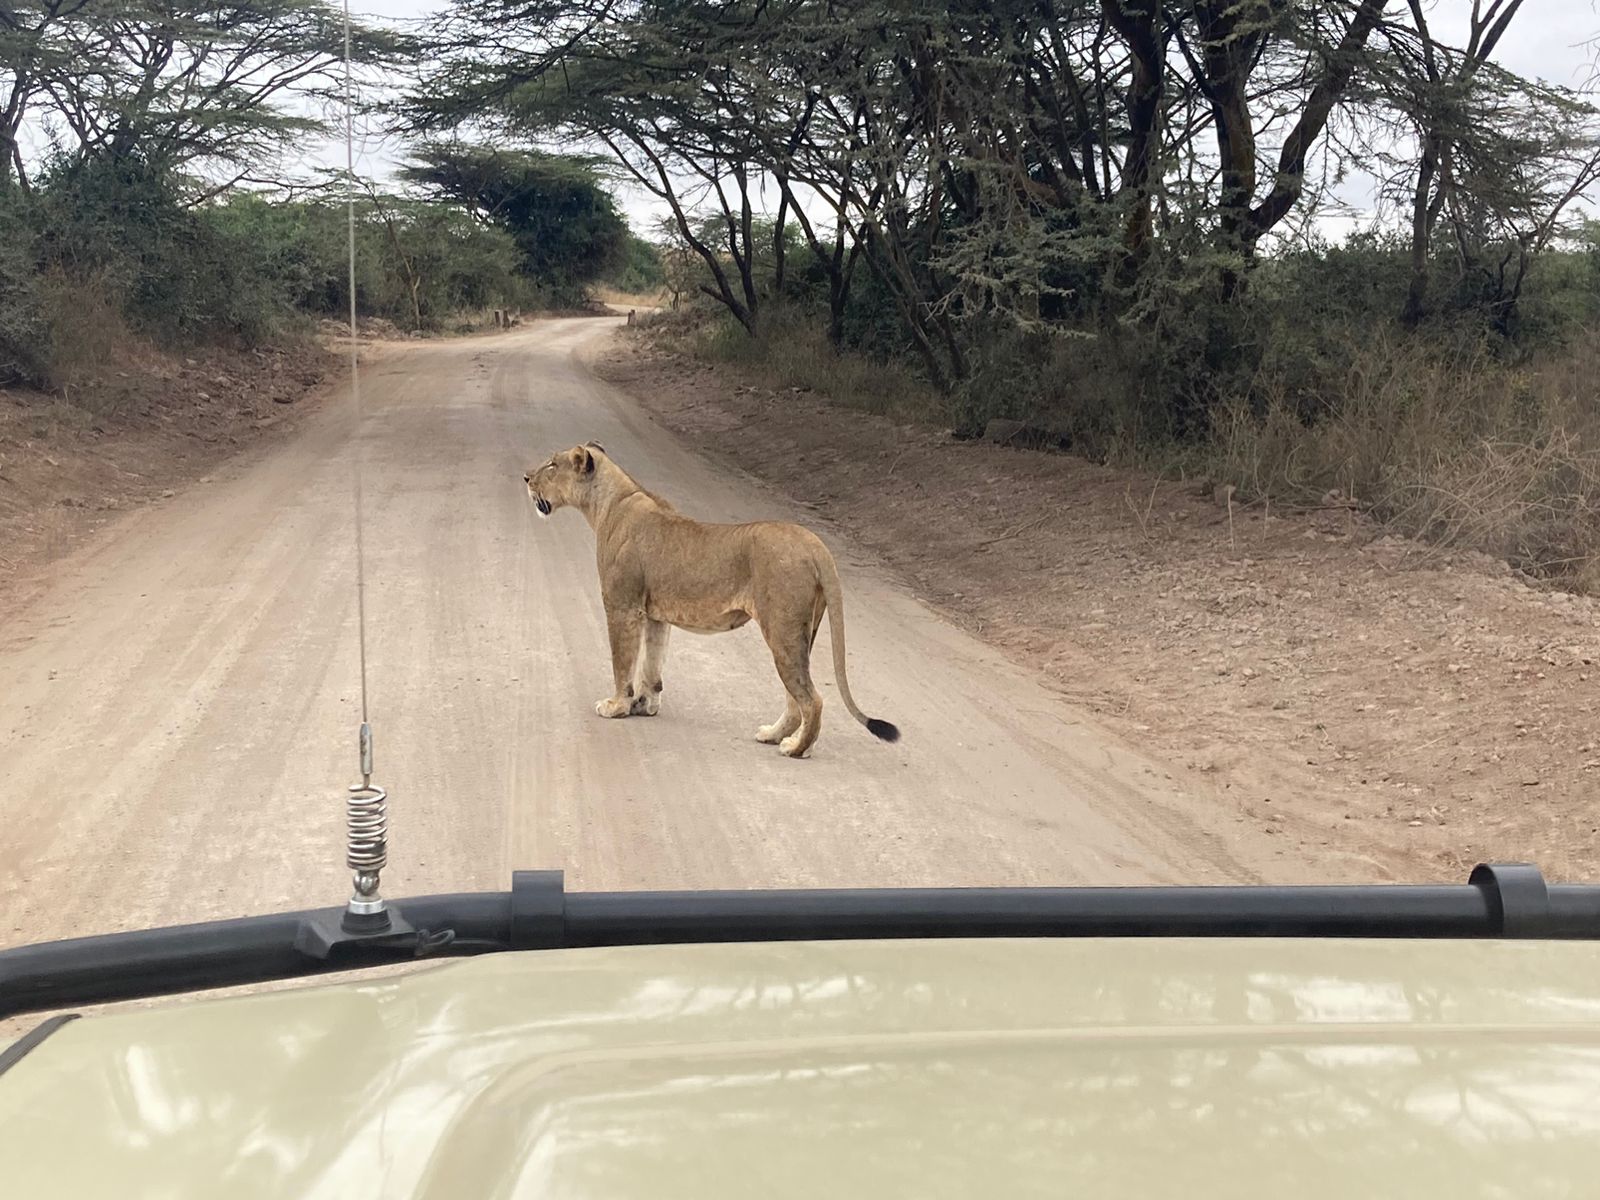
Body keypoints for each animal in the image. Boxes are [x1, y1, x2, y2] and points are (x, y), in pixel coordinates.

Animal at [524, 441, 899, 758]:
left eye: (552, 464)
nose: (526, 477)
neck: (609, 503)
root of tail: (814, 542)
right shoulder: (655, 614)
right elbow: (652, 664)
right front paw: (645, 705)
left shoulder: (622, 606)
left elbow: (623, 662)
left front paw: (616, 706)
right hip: (802, 633)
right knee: (796, 698)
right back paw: (776, 736)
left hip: (782, 629)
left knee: (812, 699)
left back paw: (795, 749)